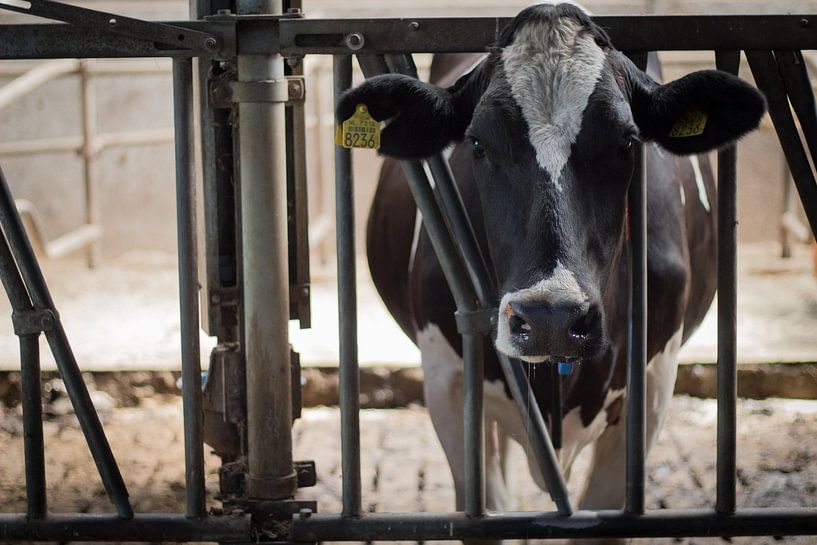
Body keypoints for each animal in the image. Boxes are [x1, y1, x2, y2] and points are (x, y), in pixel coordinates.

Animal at [337, 1, 766, 535]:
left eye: (627, 142)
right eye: (477, 144)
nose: (550, 318)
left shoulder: (654, 382)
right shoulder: (446, 377)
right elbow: (486, 506)